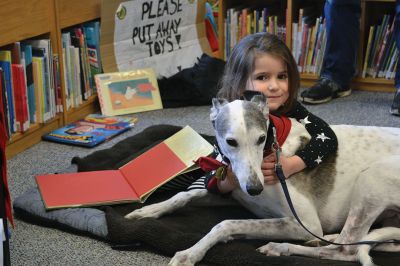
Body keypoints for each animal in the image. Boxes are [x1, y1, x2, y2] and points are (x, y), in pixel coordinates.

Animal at [126, 94, 400, 264]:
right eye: (231, 141)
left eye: (260, 138)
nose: (255, 188)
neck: (273, 148)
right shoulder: (235, 190)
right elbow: (186, 194)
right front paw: (148, 211)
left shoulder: (304, 221)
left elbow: (225, 224)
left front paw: (190, 253)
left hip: (372, 178)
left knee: (346, 249)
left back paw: (281, 247)